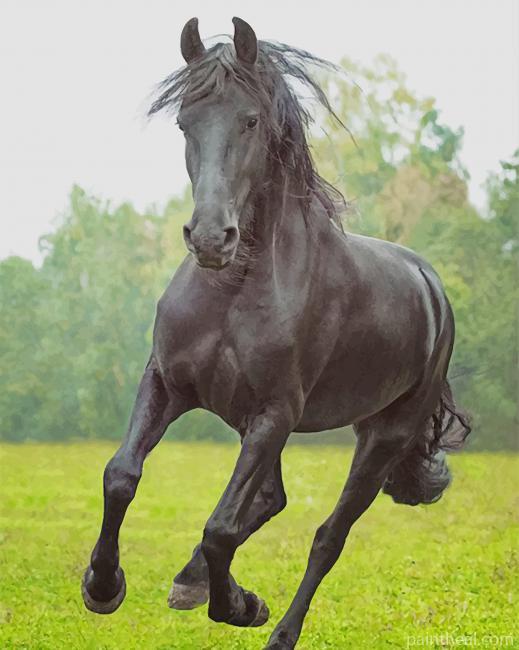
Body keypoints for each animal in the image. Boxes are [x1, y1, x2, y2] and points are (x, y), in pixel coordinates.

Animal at [81, 17, 471, 649]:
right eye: (184, 121)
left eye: (251, 120)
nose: (211, 239)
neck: (233, 291)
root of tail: (431, 287)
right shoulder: (168, 384)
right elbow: (121, 475)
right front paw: (102, 586)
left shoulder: (274, 414)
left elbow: (220, 526)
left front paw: (239, 605)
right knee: (270, 499)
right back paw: (189, 582)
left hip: (379, 437)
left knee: (326, 537)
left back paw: (276, 629)